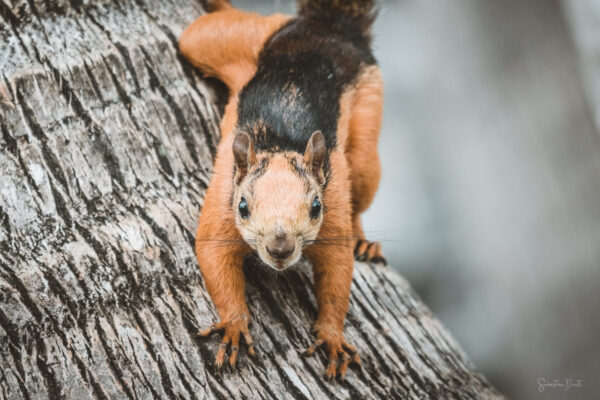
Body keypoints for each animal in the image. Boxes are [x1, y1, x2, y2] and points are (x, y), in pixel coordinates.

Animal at [179, 0, 384, 382]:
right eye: (243, 207)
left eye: (316, 207)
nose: (280, 248)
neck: (280, 145)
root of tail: (326, 27)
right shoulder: (222, 198)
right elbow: (214, 254)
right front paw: (234, 325)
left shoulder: (334, 204)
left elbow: (337, 271)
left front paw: (332, 336)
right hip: (226, 40)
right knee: (205, 32)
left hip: (368, 116)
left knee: (361, 189)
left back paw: (365, 241)